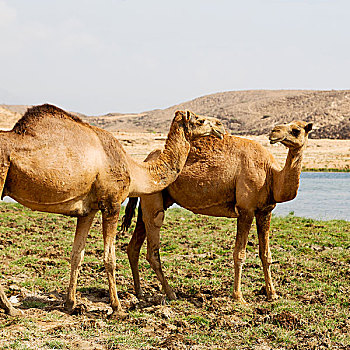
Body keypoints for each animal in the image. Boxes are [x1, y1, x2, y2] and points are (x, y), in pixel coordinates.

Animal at [0, 102, 224, 316]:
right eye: (200, 120)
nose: (220, 126)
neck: (134, 169)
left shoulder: (88, 210)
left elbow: (77, 255)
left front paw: (70, 304)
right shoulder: (112, 204)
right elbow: (109, 258)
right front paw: (118, 308)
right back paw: (11, 309)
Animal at [122, 120, 312, 304]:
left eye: (296, 130)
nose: (274, 132)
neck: (271, 175)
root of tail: (145, 161)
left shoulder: (265, 211)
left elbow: (266, 254)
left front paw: (272, 295)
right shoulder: (245, 210)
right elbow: (239, 254)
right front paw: (238, 297)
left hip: (151, 199)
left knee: (134, 245)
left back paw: (139, 293)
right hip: (154, 198)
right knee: (153, 241)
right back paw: (170, 293)